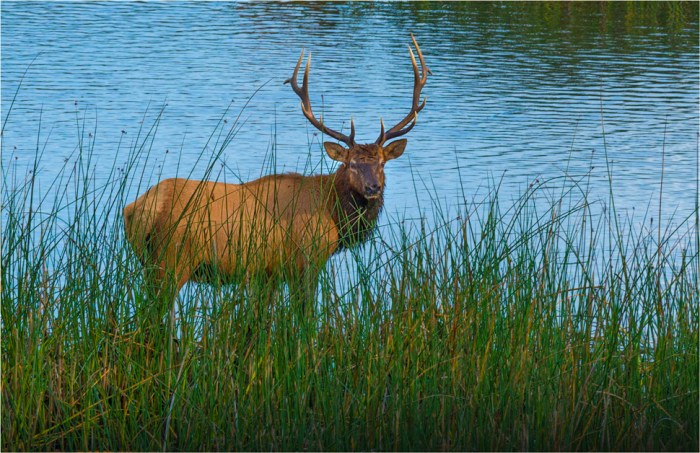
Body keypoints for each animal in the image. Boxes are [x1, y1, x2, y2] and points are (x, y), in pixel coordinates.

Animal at [123, 34, 430, 303]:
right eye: (351, 164)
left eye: (382, 163)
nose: (372, 188)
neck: (332, 212)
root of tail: (135, 209)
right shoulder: (307, 259)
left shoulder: (268, 272)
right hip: (173, 259)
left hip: (149, 264)